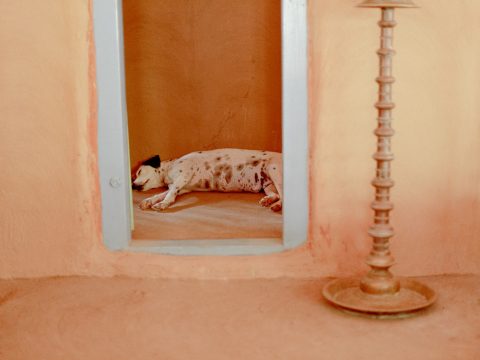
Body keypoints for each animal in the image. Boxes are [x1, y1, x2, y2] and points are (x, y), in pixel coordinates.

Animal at [129, 148, 284, 211]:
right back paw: (269, 201)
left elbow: (169, 195)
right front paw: (149, 201)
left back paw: (277, 206)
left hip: (274, 171)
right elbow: (161, 194)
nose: (133, 186)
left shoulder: (184, 175)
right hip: (268, 185)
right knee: (276, 195)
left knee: (283, 197)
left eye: (139, 171)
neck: (169, 170)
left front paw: (163, 204)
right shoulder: (182, 188)